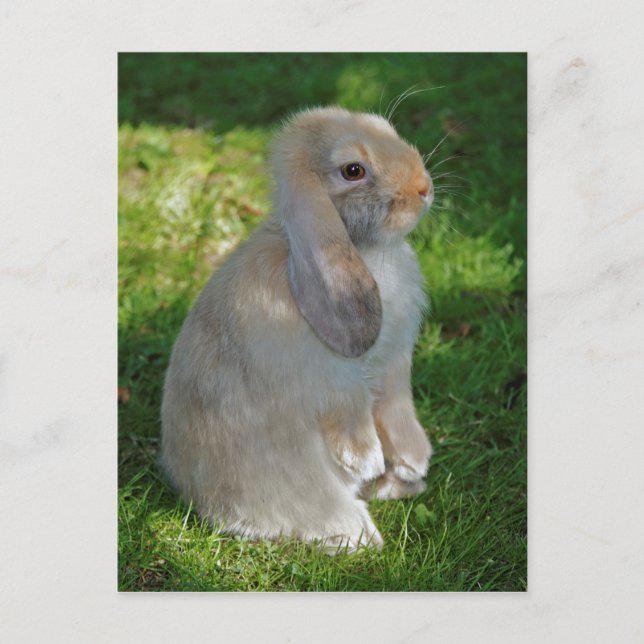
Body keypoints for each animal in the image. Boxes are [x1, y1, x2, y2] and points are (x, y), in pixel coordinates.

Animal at [161, 106, 433, 552]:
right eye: (353, 170)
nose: (424, 189)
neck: (365, 250)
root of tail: (194, 494)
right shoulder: (335, 378)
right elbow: (352, 412)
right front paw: (367, 459)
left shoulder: (393, 365)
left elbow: (394, 406)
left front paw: (414, 461)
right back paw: (360, 533)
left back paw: (400, 486)